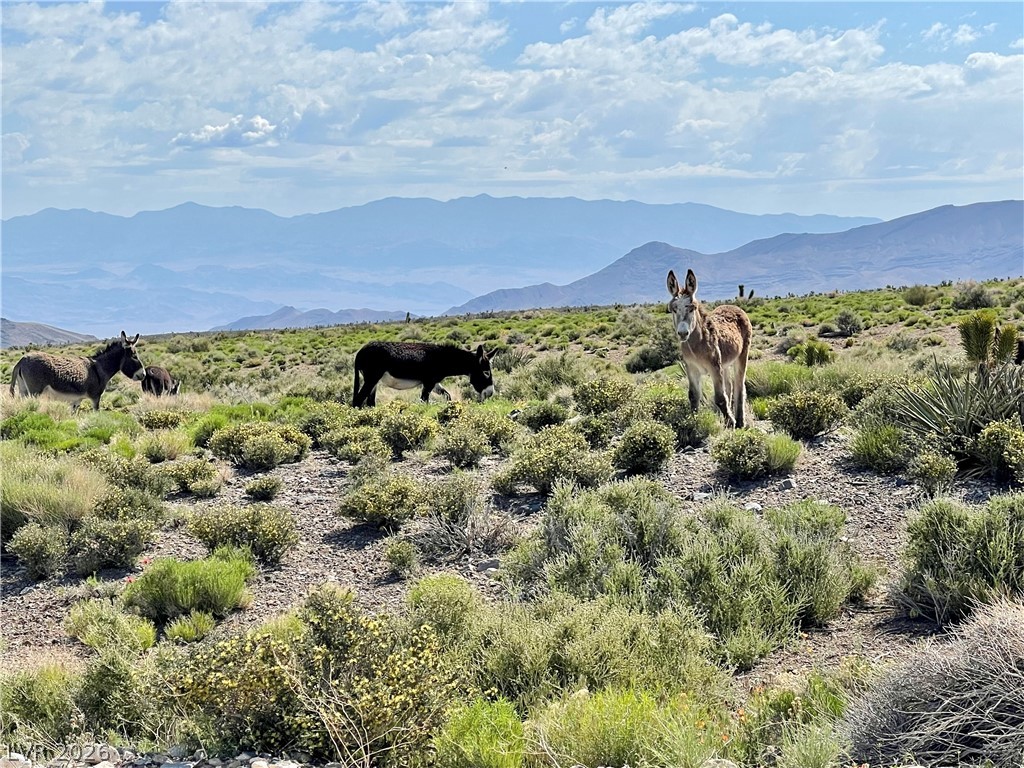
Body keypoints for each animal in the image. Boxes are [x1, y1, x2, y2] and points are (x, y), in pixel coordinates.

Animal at [8, 331, 146, 410]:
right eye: (134, 356)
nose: (143, 374)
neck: (100, 368)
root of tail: (22, 359)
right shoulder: (95, 397)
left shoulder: (76, 401)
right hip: (34, 392)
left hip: (23, 391)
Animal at [353, 341, 494, 407]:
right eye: (486, 372)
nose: (490, 393)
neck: (442, 358)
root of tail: (360, 352)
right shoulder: (428, 382)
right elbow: (424, 401)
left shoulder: (434, 382)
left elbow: (447, 396)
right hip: (372, 378)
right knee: (358, 400)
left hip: (374, 381)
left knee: (370, 402)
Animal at [666, 269, 752, 428]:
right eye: (673, 310)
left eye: (692, 308)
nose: (683, 333)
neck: (696, 345)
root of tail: (734, 306)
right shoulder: (691, 368)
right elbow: (693, 396)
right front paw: (693, 423)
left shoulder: (714, 367)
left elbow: (720, 398)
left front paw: (730, 422)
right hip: (725, 363)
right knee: (729, 385)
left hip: (742, 355)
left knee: (739, 385)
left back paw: (740, 421)